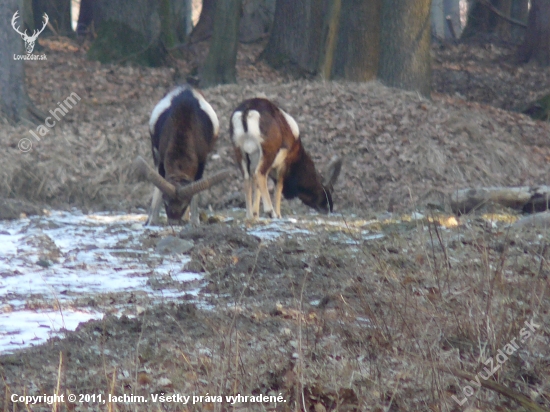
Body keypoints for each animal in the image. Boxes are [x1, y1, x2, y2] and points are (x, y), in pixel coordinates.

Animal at [140, 86, 229, 225]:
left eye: (185, 203)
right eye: (166, 201)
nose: (173, 221)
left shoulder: (202, 161)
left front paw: (194, 222)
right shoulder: (161, 159)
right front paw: (152, 221)